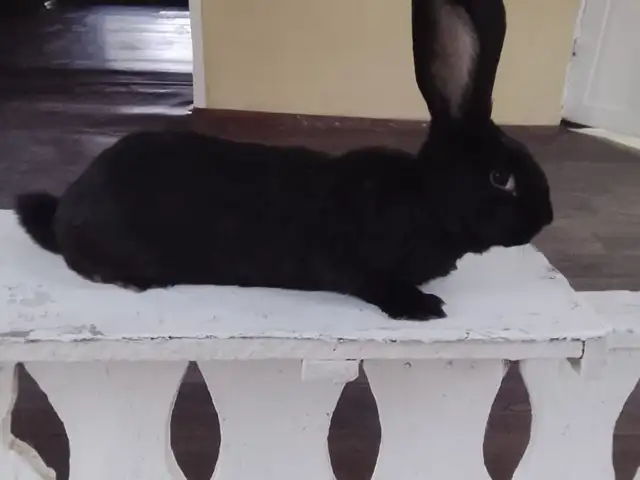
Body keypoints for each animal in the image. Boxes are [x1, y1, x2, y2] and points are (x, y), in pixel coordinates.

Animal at [13, 0, 553, 321]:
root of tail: (64, 212)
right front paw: (424, 306)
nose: (547, 218)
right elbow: (376, 286)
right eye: (500, 177)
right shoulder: (355, 264)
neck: (426, 202)